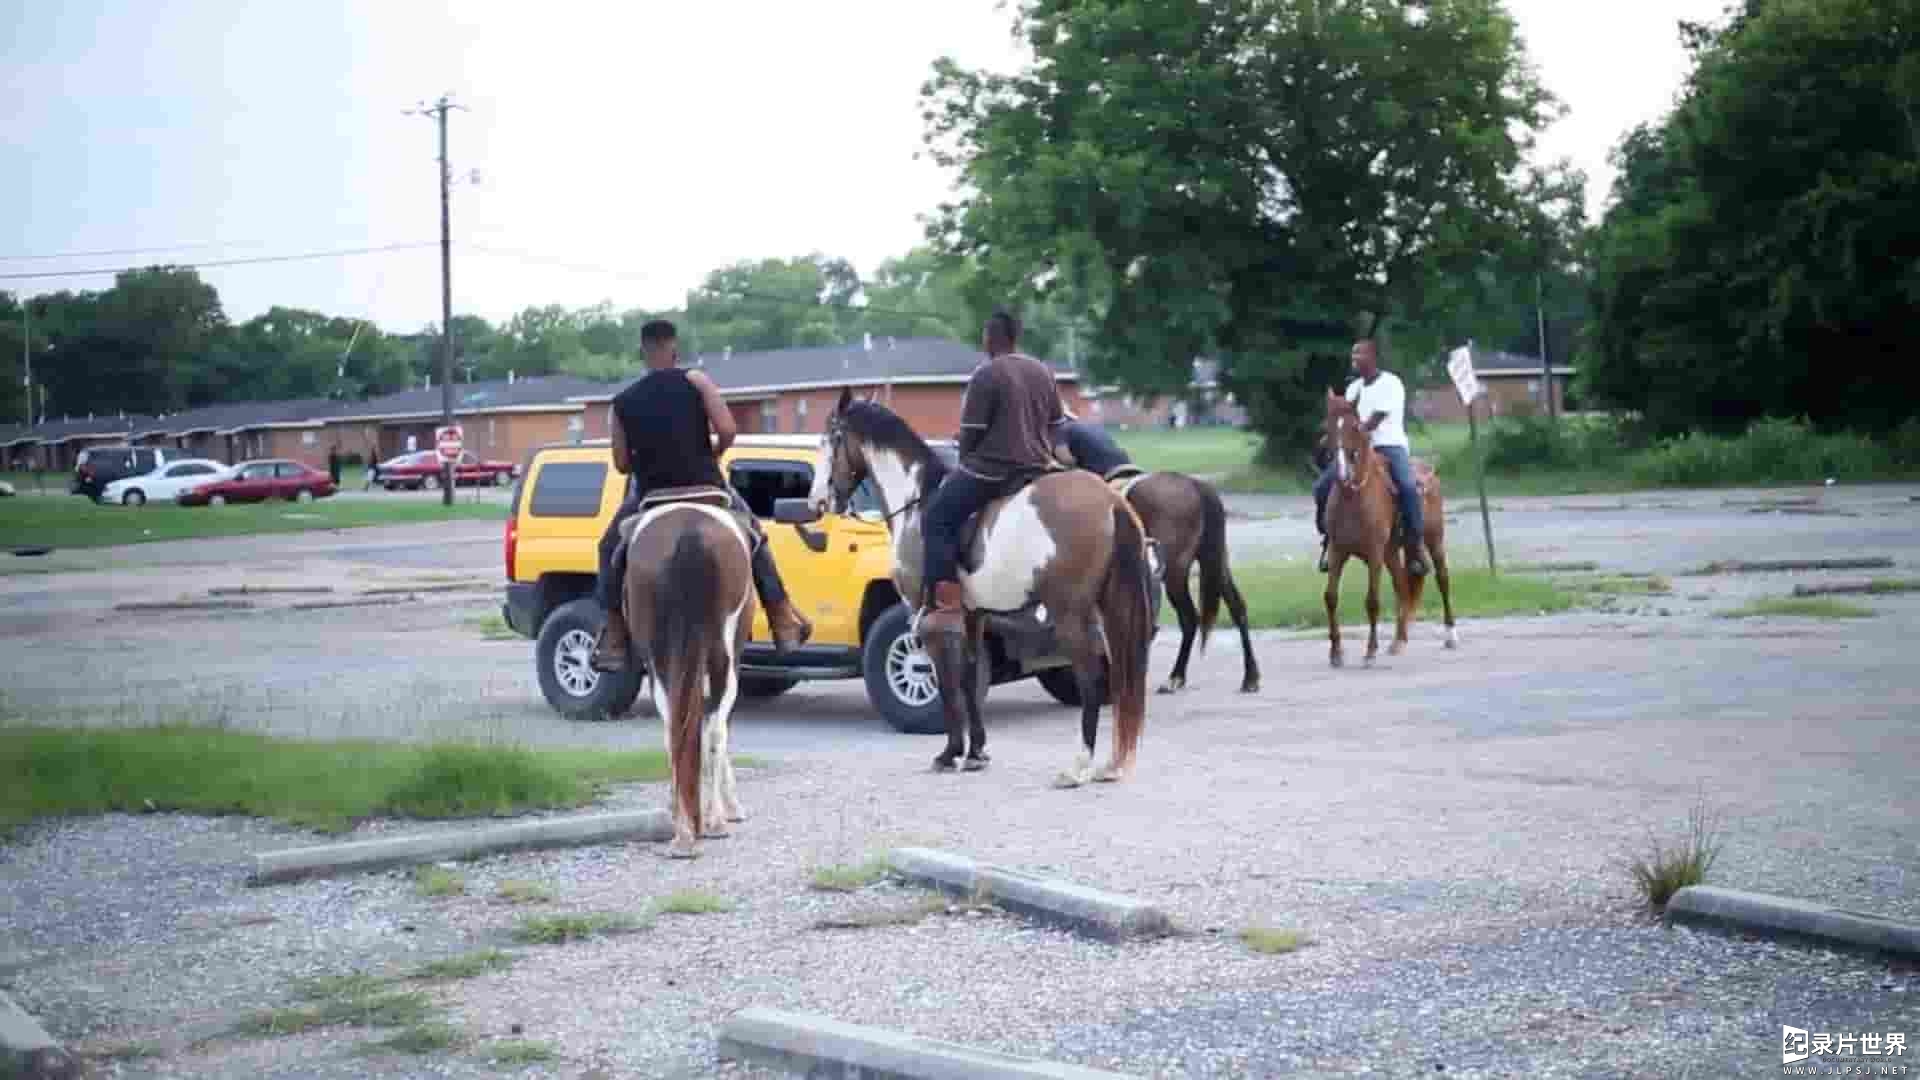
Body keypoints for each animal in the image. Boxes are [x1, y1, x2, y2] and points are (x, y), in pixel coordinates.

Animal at [622, 486, 756, 849]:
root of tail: (688, 531)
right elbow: (716, 727)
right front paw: (729, 807)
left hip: (659, 659)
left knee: (674, 726)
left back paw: (682, 827)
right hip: (723, 656)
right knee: (714, 728)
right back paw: (714, 820)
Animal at [810, 386, 1152, 780]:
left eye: (829, 439)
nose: (818, 501)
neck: (916, 502)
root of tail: (1111, 500)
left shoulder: (928, 618)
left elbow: (946, 681)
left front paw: (950, 752)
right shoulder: (973, 615)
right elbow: (969, 677)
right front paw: (976, 751)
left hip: (1069, 612)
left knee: (1090, 676)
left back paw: (1080, 764)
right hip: (1107, 607)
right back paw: (1110, 764)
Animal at [1320, 390, 1451, 664]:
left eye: (1355, 427)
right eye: (1327, 426)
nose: (1341, 472)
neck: (1353, 496)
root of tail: (1429, 472)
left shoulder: (1374, 553)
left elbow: (1372, 600)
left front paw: (1370, 650)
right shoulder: (1338, 550)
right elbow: (1330, 597)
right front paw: (1336, 651)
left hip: (1433, 540)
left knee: (1442, 579)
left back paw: (1450, 635)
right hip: (1391, 552)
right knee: (1403, 587)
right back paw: (1398, 640)